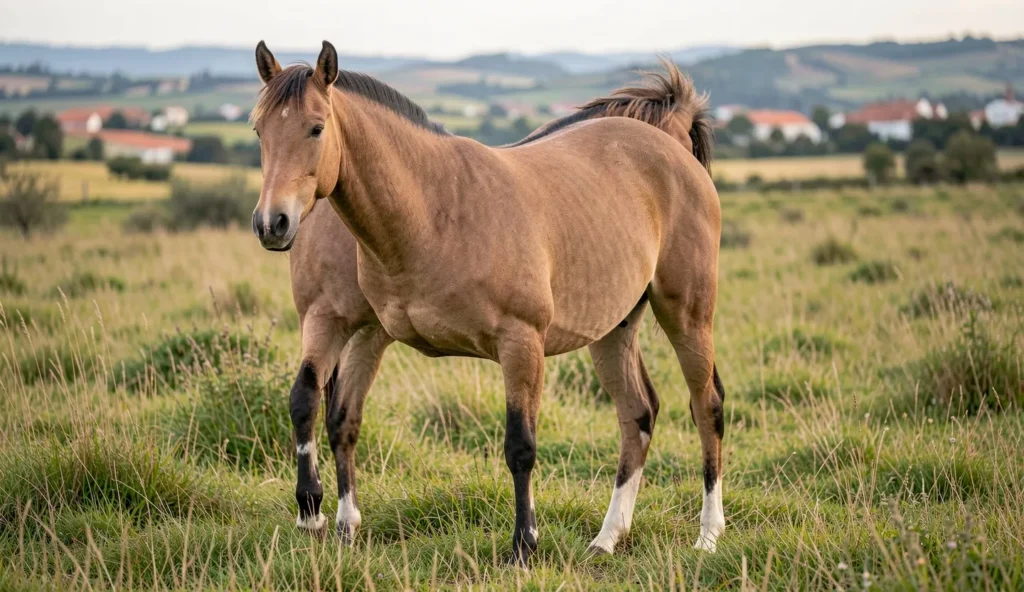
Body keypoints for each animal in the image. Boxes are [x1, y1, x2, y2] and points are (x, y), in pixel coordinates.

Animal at [251, 40, 726, 564]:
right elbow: (326, 412)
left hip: (688, 316)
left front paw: (524, 545)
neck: (435, 208)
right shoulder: (348, 328)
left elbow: (520, 445)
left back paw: (708, 535)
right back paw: (607, 538)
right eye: (259, 129)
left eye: (316, 127)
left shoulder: (520, 343)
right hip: (612, 331)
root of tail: (669, 145)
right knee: (638, 413)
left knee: (707, 406)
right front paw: (327, 520)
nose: (272, 223)